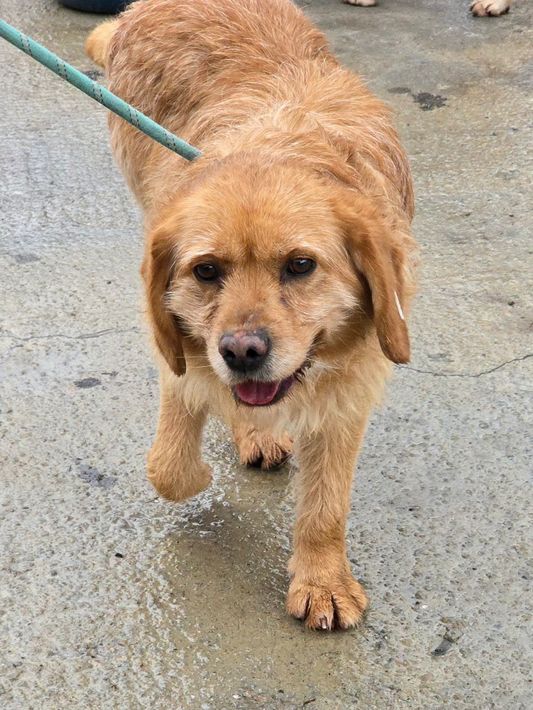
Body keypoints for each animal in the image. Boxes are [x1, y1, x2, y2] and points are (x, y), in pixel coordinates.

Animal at [86, 0, 417, 631]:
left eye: (301, 265)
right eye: (207, 270)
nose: (242, 352)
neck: (281, 145)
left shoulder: (350, 387)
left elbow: (326, 506)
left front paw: (323, 579)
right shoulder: (183, 355)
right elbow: (168, 467)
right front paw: (200, 471)